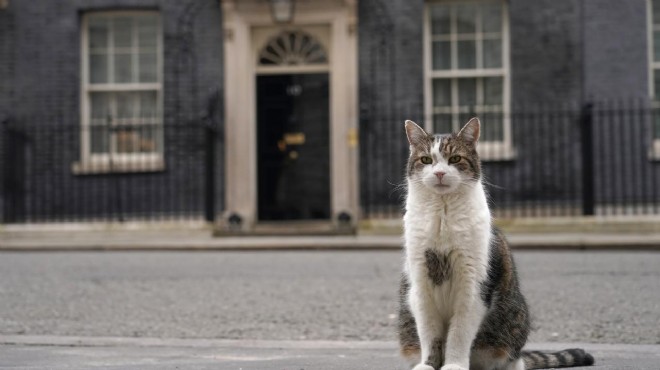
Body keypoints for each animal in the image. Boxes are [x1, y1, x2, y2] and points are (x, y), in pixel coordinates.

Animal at [398, 118, 600, 370]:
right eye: (426, 160)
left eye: (455, 159)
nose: (440, 173)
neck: (442, 216)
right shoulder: (420, 285)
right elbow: (429, 334)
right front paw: (428, 364)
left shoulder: (473, 285)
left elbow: (459, 333)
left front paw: (453, 365)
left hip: (512, 327)